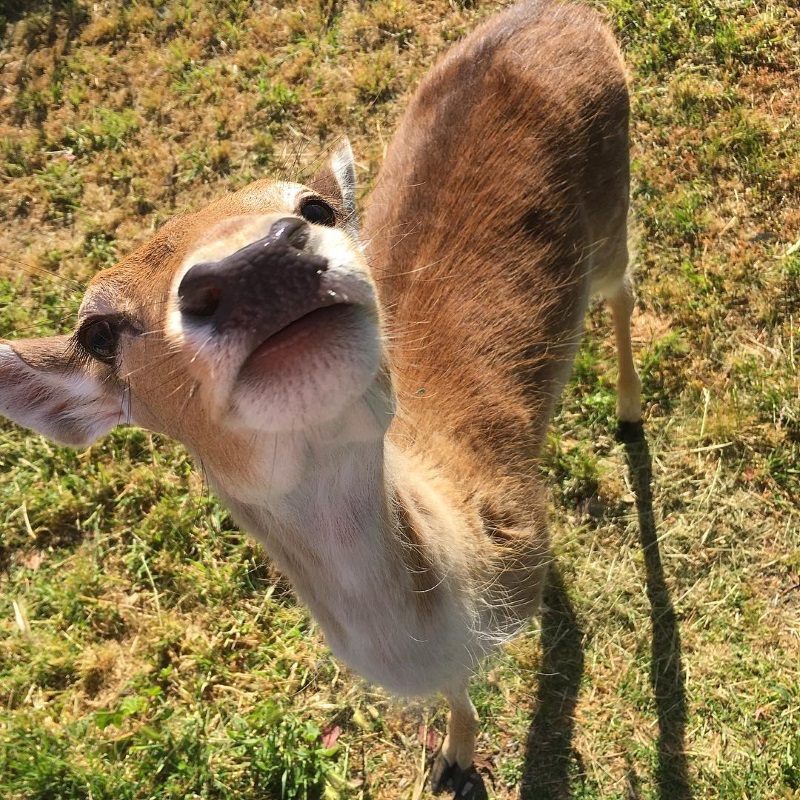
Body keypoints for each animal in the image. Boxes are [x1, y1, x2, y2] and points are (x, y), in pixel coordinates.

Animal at [0, 1, 636, 792]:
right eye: (96, 329)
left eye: (314, 207)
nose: (256, 260)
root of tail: (567, 12)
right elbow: (457, 694)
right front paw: (452, 761)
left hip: (615, 200)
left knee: (625, 284)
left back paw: (630, 413)